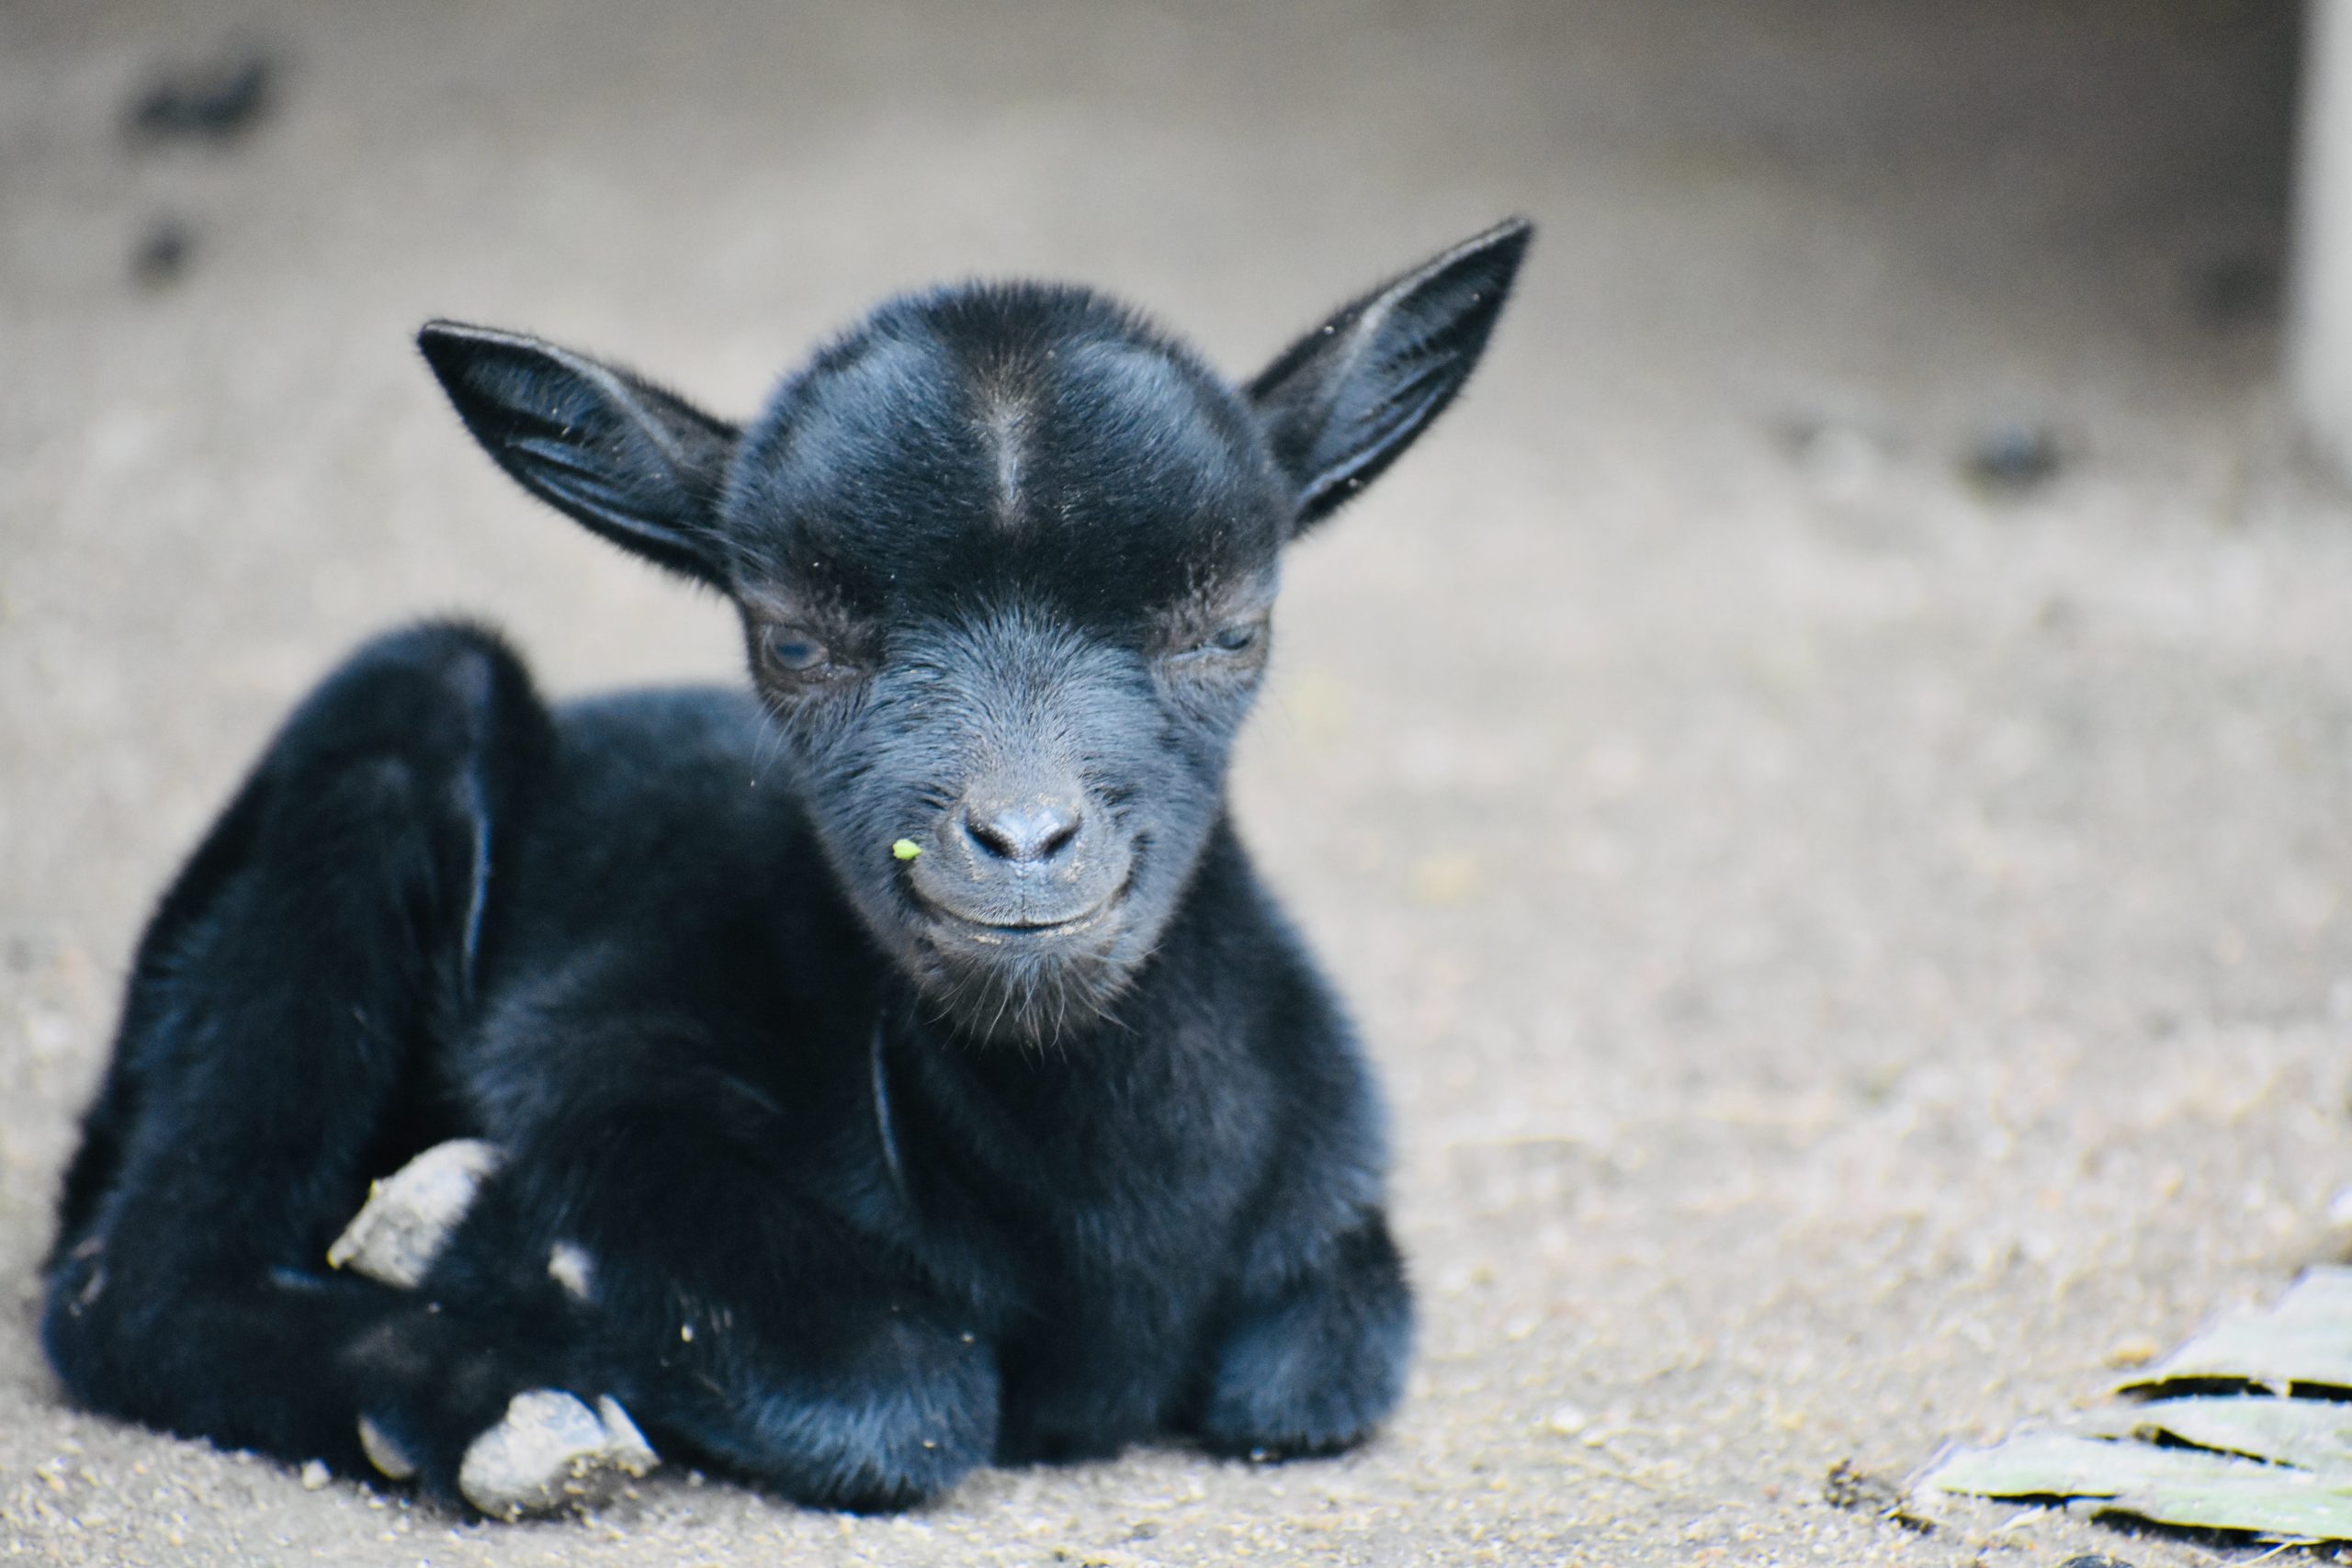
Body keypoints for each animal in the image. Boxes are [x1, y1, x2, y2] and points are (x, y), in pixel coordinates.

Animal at [45, 220, 1533, 1523]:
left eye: (1232, 628)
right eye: (794, 641)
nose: (1022, 841)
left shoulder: (1334, 1217)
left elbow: (1321, 1366)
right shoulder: (596, 1047)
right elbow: (898, 1388)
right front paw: (478, 1235)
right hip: (394, 721)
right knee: (127, 1278)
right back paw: (499, 1406)